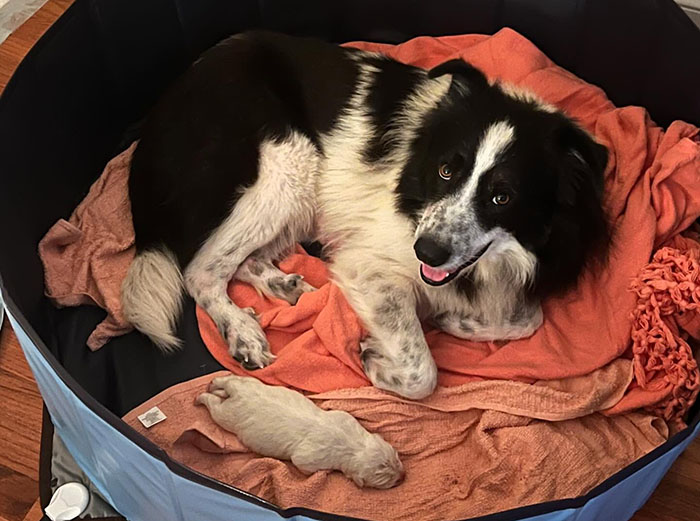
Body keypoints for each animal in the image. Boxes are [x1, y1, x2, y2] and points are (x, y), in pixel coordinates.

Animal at [123, 31, 608, 398]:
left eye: (502, 197)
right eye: (446, 170)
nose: (427, 253)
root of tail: (151, 126)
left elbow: (529, 319)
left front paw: (452, 320)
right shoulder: (370, 264)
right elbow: (423, 372)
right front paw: (376, 358)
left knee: (239, 260)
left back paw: (281, 284)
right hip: (290, 162)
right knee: (201, 268)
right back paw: (242, 330)